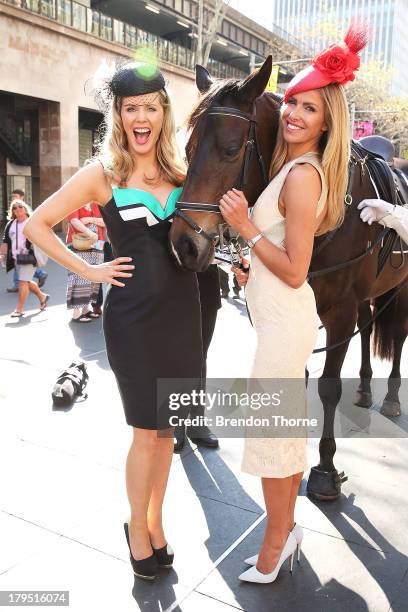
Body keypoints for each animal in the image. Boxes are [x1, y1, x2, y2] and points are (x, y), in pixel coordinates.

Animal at [169, 55, 408, 500]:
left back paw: (390, 395)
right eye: (187, 149)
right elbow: (298, 374)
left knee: (397, 334)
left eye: (230, 150)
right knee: (369, 329)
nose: (183, 244)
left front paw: (326, 470)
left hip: (399, 289)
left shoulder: (340, 312)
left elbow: (328, 387)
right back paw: (366, 387)